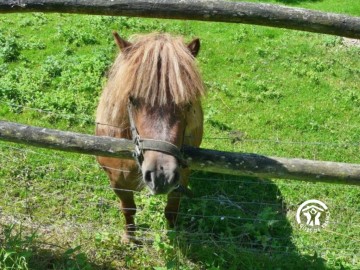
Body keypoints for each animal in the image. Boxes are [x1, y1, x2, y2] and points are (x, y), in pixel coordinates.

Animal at [95, 31, 205, 243]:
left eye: (187, 103)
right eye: (132, 99)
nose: (161, 175)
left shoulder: (182, 179)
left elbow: (171, 211)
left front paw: (172, 237)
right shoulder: (117, 183)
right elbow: (128, 209)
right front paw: (130, 238)